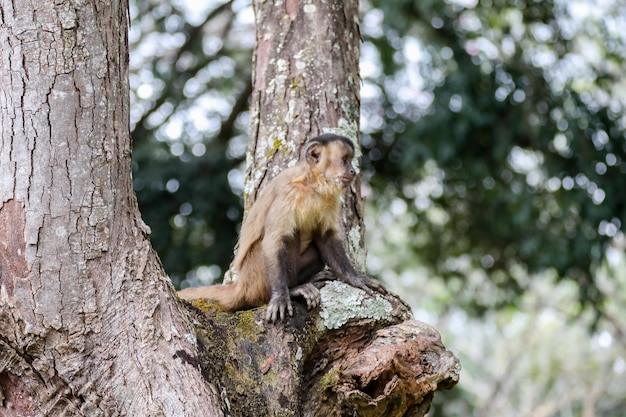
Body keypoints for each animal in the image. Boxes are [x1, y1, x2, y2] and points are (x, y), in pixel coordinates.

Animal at [177, 133, 386, 322]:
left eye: (350, 161)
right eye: (344, 160)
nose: (352, 171)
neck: (312, 184)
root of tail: (240, 285)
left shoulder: (331, 198)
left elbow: (326, 237)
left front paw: (355, 278)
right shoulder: (289, 193)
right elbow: (273, 241)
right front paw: (280, 297)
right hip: (255, 279)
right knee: (287, 237)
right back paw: (293, 290)